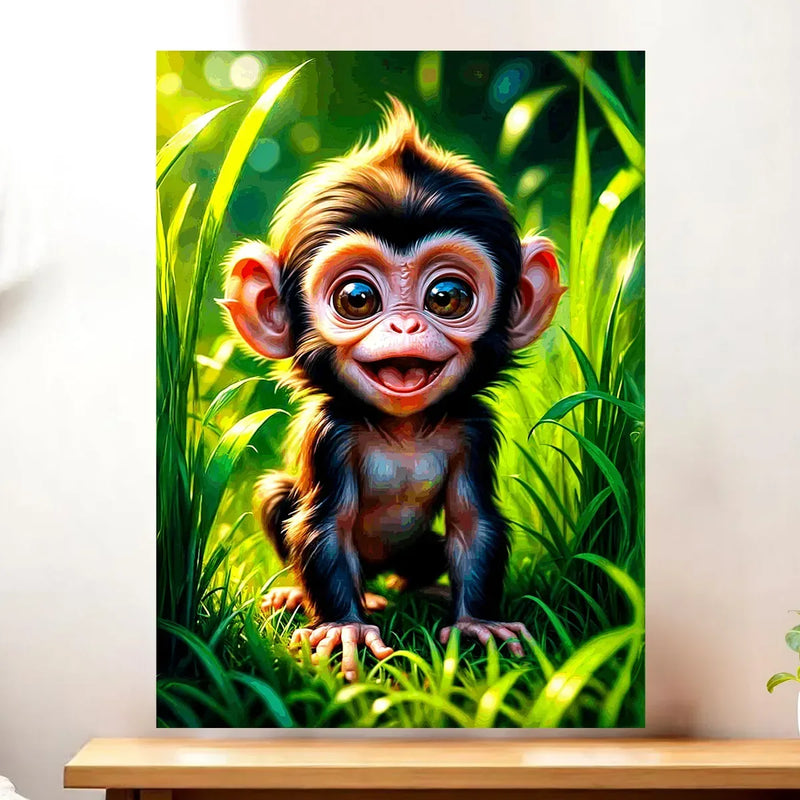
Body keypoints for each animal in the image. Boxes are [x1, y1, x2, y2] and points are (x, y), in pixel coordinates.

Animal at [221, 99, 564, 681]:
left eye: (446, 296)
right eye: (357, 298)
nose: (406, 326)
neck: (403, 429)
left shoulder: (476, 428)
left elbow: (473, 521)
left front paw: (475, 622)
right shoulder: (330, 434)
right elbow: (323, 523)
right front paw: (345, 628)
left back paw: (422, 589)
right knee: (278, 497)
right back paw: (317, 598)